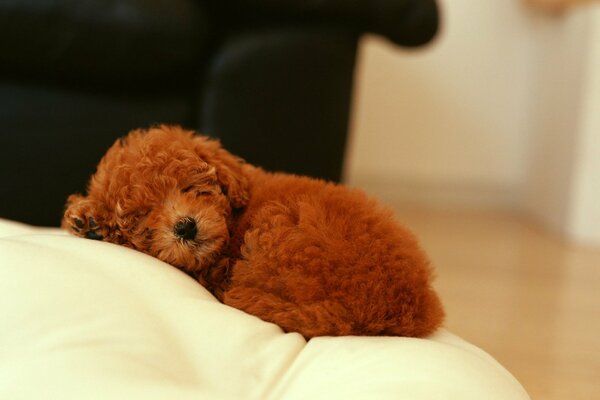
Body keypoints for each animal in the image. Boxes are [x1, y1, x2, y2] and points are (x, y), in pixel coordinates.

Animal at [63, 125, 442, 338]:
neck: (233, 219)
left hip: (280, 226)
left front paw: (93, 222)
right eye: (144, 215)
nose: (186, 226)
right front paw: (89, 220)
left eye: (190, 187)